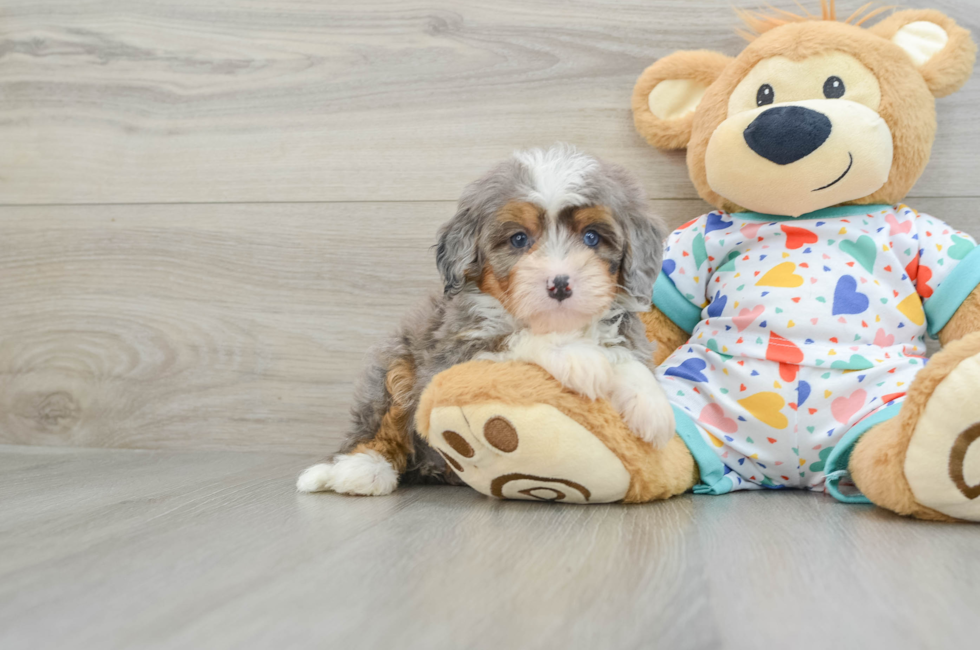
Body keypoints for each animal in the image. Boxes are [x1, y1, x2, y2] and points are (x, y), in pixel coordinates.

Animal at [296, 144, 672, 494]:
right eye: (519, 239)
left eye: (592, 237)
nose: (560, 284)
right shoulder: (451, 357)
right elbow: (513, 338)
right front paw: (578, 357)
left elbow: (626, 356)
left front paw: (651, 404)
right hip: (394, 366)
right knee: (377, 424)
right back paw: (362, 469)